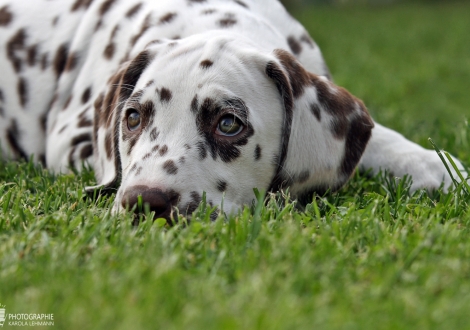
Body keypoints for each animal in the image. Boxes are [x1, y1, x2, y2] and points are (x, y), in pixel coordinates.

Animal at [0, 0, 466, 220]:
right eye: (132, 118)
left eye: (228, 124)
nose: (144, 202)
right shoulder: (73, 140)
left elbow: (377, 140)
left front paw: (434, 165)